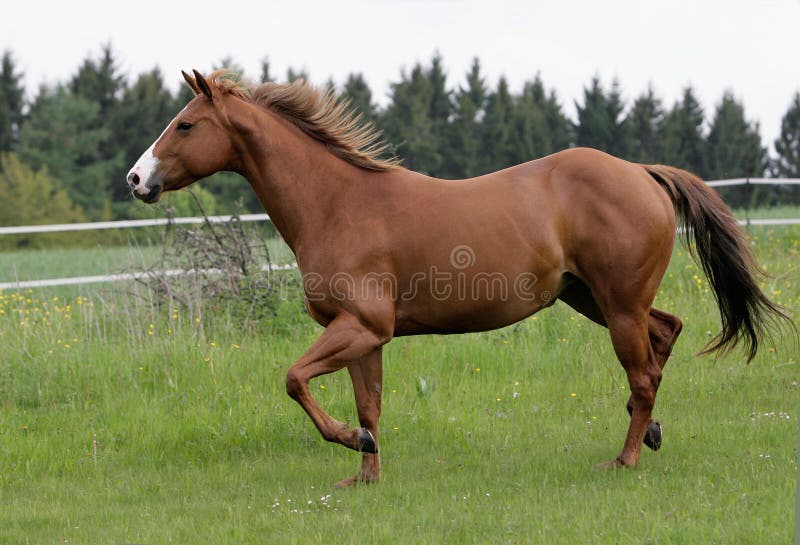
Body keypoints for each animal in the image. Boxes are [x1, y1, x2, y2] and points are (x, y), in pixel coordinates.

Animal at [125, 70, 788, 486]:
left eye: (185, 125)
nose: (136, 179)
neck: (339, 203)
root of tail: (643, 173)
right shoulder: (364, 335)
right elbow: (369, 404)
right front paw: (365, 470)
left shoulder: (359, 325)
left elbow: (294, 379)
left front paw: (351, 444)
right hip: (591, 299)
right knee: (666, 333)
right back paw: (649, 433)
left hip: (617, 304)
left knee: (645, 371)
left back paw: (624, 459)